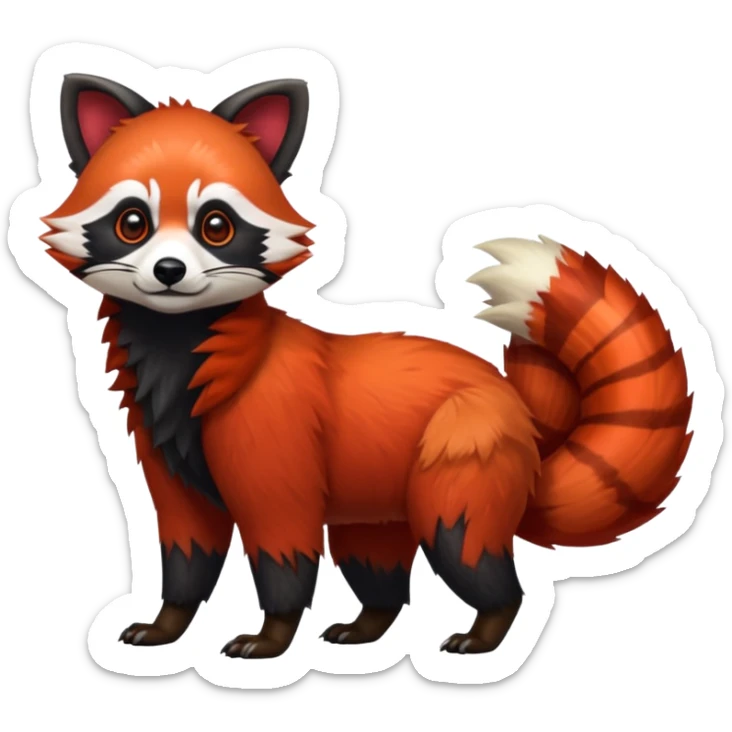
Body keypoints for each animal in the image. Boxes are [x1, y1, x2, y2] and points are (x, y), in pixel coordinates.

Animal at [38, 73, 693, 660]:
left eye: (216, 225)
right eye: (132, 222)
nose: (170, 271)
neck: (179, 362)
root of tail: (518, 410)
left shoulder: (276, 463)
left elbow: (283, 557)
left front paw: (271, 639)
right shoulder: (171, 471)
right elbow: (186, 558)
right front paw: (166, 625)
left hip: (458, 466)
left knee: (475, 555)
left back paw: (484, 633)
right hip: (373, 506)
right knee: (379, 572)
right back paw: (366, 628)